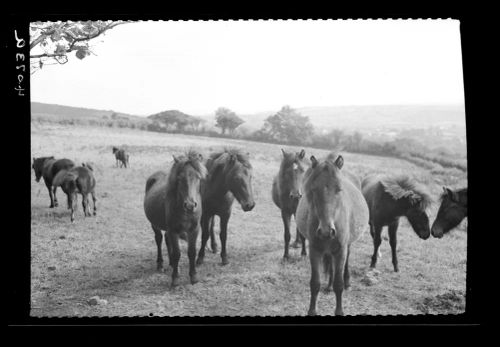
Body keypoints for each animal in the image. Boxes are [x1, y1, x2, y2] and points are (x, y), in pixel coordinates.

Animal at [144, 150, 208, 288]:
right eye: (179, 178)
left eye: (198, 178)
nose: (190, 205)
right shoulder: (173, 230)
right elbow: (177, 253)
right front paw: (175, 279)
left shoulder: (194, 229)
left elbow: (191, 252)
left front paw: (193, 276)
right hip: (154, 225)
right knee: (159, 239)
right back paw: (160, 264)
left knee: (167, 240)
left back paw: (172, 264)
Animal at [294, 154, 370, 316]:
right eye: (313, 189)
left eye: (339, 189)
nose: (326, 231)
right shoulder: (314, 250)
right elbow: (315, 283)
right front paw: (312, 311)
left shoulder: (341, 250)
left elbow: (338, 283)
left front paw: (339, 310)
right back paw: (328, 286)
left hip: (346, 246)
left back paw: (347, 282)